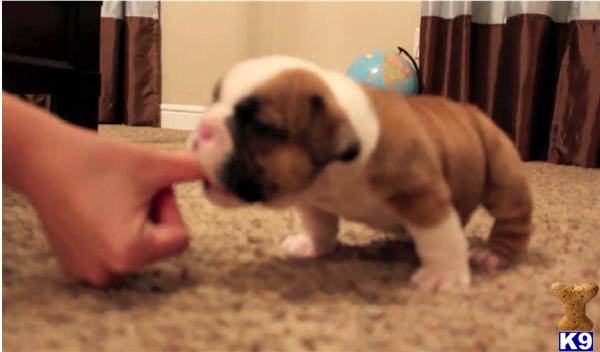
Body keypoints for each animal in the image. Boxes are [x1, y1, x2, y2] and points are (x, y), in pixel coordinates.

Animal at [189, 55, 536, 292]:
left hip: (501, 169)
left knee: (513, 219)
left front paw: (444, 277)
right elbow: (319, 225)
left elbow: (439, 238)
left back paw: (492, 255)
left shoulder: (422, 195)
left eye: (261, 127)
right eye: (214, 99)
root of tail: (470, 111)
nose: (204, 127)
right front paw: (313, 246)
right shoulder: (314, 199)